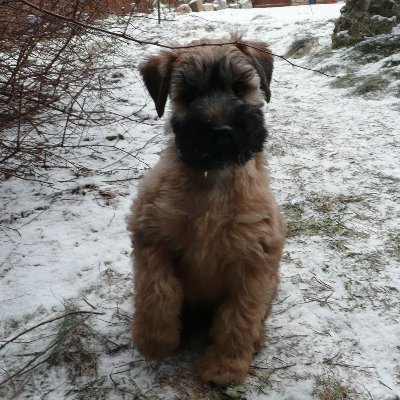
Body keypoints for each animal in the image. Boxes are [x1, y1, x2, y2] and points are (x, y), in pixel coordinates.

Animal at [126, 36, 286, 386]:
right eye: (188, 96)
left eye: (239, 88)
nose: (222, 131)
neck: (213, 178)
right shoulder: (150, 233)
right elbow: (159, 290)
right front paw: (155, 341)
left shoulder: (254, 260)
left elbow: (238, 317)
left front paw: (224, 367)